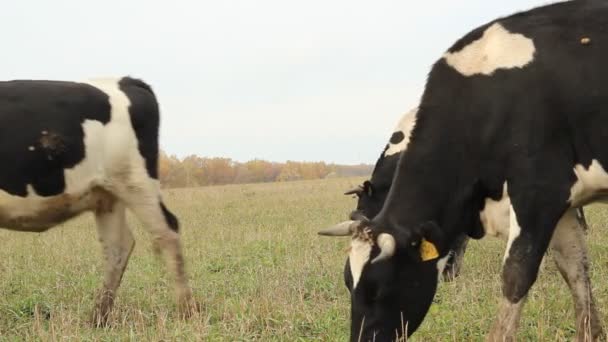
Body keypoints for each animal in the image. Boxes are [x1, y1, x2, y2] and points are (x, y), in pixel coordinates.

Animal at [0, 77, 196, 326]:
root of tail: (125, 81)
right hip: (108, 195)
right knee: (118, 246)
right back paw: (99, 316)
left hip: (136, 182)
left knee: (167, 231)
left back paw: (187, 310)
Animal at [318, 1, 608, 340]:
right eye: (348, 283)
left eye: (378, 289)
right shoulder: (561, 206)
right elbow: (576, 269)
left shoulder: (539, 193)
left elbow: (516, 277)